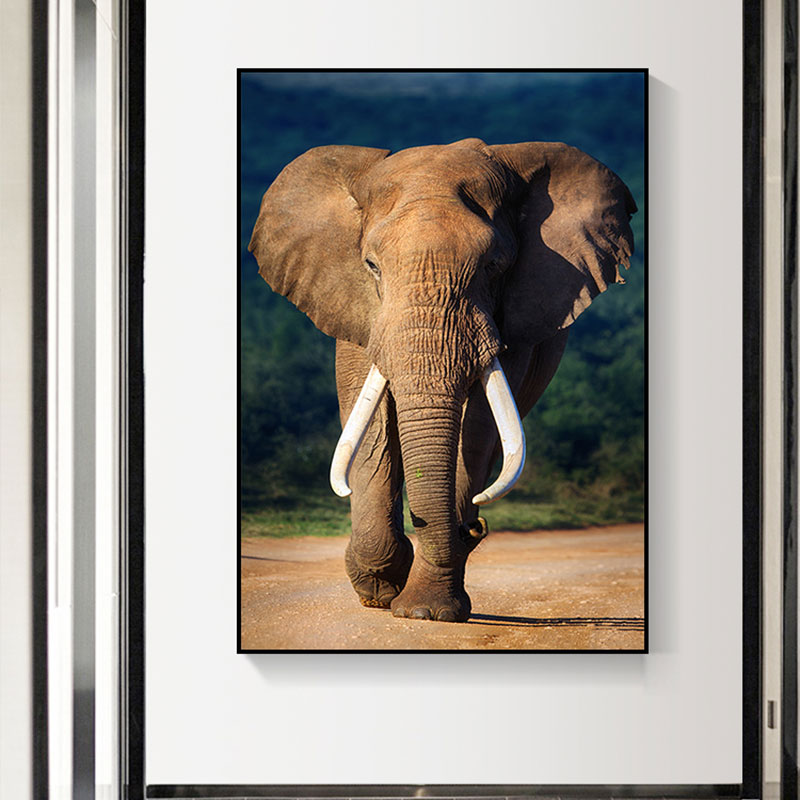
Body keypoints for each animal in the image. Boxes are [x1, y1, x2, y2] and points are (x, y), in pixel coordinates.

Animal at [248, 137, 636, 623]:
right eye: (371, 265)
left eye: (494, 265)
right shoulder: (354, 306)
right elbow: (370, 421)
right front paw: (381, 589)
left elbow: (478, 428)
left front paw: (425, 611)